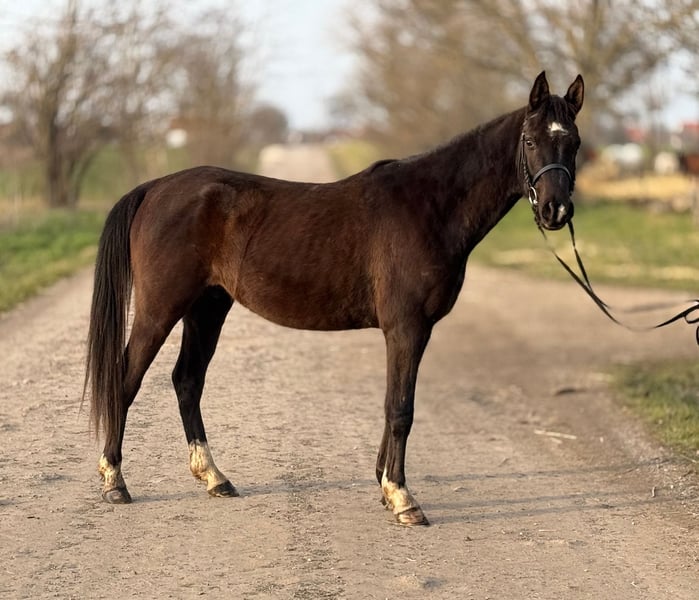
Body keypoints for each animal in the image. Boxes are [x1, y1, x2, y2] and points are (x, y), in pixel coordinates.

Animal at [84, 71, 584, 526]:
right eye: (531, 140)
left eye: (574, 143)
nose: (555, 210)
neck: (430, 207)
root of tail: (155, 187)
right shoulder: (407, 327)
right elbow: (401, 409)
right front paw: (403, 498)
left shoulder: (408, 331)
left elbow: (392, 403)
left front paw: (385, 485)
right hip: (160, 309)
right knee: (125, 381)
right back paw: (115, 482)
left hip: (207, 307)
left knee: (187, 381)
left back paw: (215, 478)